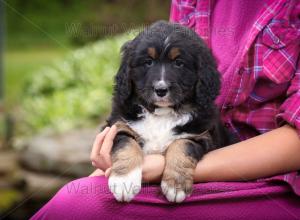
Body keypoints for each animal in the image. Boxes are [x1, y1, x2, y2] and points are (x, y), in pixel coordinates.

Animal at [105, 20, 234, 203]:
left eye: (178, 63)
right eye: (148, 62)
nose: (161, 89)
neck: (162, 114)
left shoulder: (200, 136)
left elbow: (181, 146)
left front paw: (175, 185)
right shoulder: (117, 126)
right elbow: (126, 144)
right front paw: (124, 182)